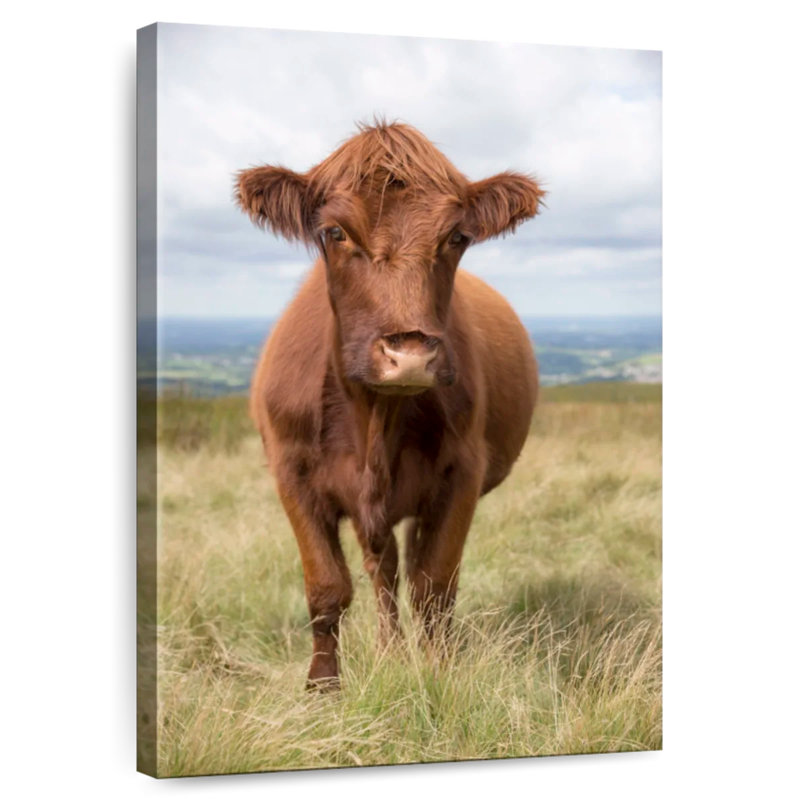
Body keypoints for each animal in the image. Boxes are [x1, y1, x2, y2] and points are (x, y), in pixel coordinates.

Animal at [236, 121, 543, 689]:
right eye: (336, 232)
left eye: (456, 237)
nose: (411, 356)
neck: (373, 421)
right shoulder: (293, 474)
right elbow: (327, 588)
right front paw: (323, 687)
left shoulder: (462, 473)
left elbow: (435, 587)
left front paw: (439, 675)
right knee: (383, 570)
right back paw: (388, 650)